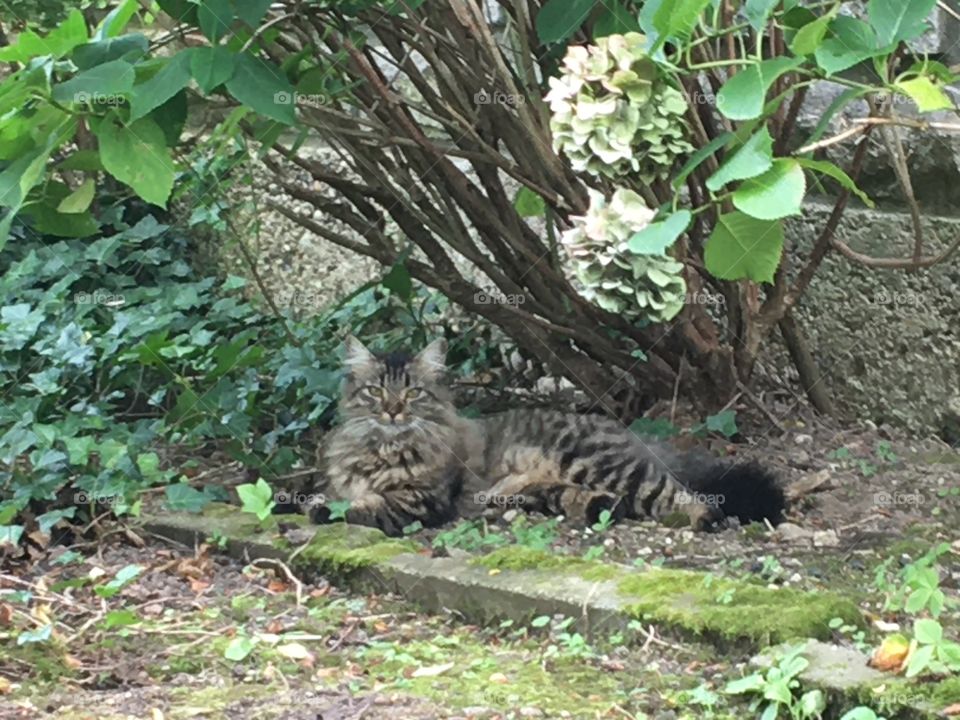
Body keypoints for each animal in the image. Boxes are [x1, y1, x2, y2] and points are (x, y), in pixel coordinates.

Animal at [296, 338, 784, 536]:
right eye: (375, 391)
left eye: (413, 392)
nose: (393, 410)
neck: (381, 448)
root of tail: (627, 431)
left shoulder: (421, 501)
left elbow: (365, 508)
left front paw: (326, 512)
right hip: (541, 488)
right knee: (607, 503)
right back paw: (597, 509)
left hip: (603, 465)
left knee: (691, 498)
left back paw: (701, 521)